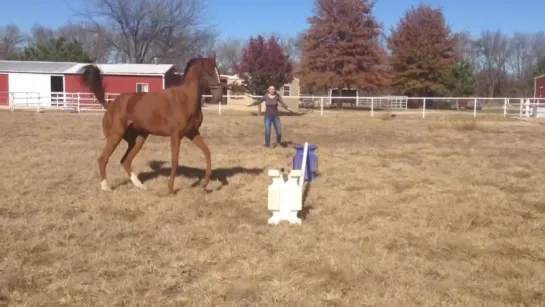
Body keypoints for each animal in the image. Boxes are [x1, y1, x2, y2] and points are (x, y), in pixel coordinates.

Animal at [78, 55, 221, 195]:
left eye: (218, 72)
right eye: (209, 73)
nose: (218, 96)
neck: (184, 99)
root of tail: (110, 105)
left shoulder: (192, 133)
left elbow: (207, 152)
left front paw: (205, 184)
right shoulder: (176, 135)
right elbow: (175, 160)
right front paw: (170, 189)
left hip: (138, 140)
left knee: (126, 161)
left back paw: (140, 186)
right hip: (115, 136)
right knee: (103, 158)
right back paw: (105, 187)